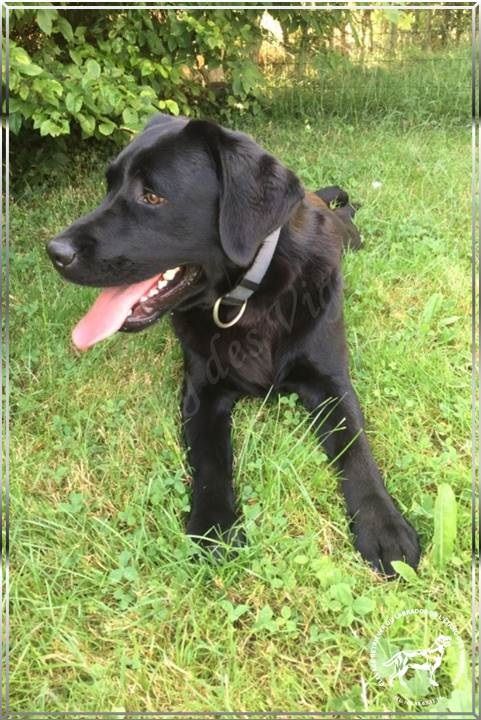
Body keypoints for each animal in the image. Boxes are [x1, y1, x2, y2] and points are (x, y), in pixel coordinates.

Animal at [47, 114, 418, 572]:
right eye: (109, 185)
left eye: (152, 195)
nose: (55, 251)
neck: (248, 300)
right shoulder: (201, 393)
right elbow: (210, 461)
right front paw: (214, 525)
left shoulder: (331, 381)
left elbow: (356, 448)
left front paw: (383, 524)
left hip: (349, 237)